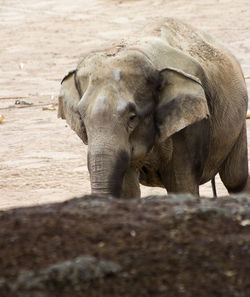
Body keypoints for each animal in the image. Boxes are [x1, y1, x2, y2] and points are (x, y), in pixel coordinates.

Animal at [58, 18, 248, 197]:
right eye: (81, 118)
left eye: (132, 117)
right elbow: (128, 191)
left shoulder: (190, 128)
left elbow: (182, 186)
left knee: (236, 179)